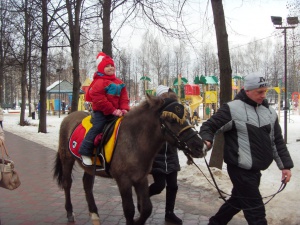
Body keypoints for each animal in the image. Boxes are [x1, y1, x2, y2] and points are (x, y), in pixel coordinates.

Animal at [53, 93, 206, 225]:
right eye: (172, 120)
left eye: (188, 116)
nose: (200, 146)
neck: (133, 139)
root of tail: (69, 116)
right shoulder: (124, 180)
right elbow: (129, 210)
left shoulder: (141, 178)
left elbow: (146, 208)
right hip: (66, 159)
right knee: (67, 183)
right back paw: (70, 212)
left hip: (90, 167)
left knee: (87, 184)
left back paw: (94, 214)